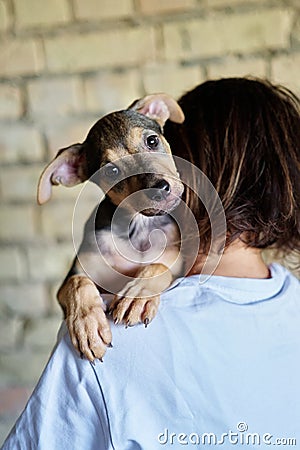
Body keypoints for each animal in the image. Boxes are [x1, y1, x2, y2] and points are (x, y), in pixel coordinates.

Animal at [37, 95, 185, 362]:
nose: (158, 189)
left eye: (152, 140)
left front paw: (137, 295)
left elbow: (159, 264)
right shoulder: (74, 275)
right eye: (112, 170)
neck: (137, 228)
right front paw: (87, 326)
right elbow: (77, 283)